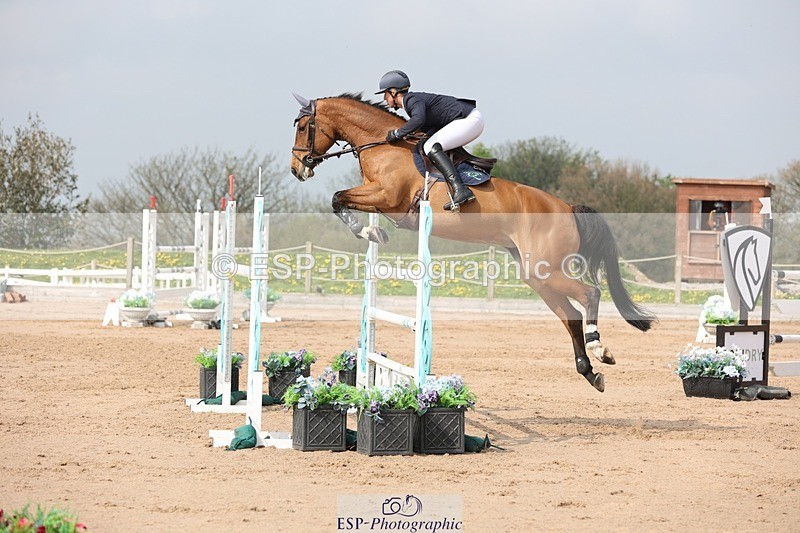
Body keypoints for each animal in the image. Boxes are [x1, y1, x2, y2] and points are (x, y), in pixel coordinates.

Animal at [289, 92, 656, 392]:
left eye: (304, 126)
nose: (296, 169)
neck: (382, 145)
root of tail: (566, 207)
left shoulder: (387, 197)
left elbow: (337, 198)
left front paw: (368, 232)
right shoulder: (379, 200)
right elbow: (340, 199)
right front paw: (372, 232)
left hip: (548, 268)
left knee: (590, 294)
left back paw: (599, 350)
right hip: (536, 273)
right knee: (570, 315)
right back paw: (589, 372)